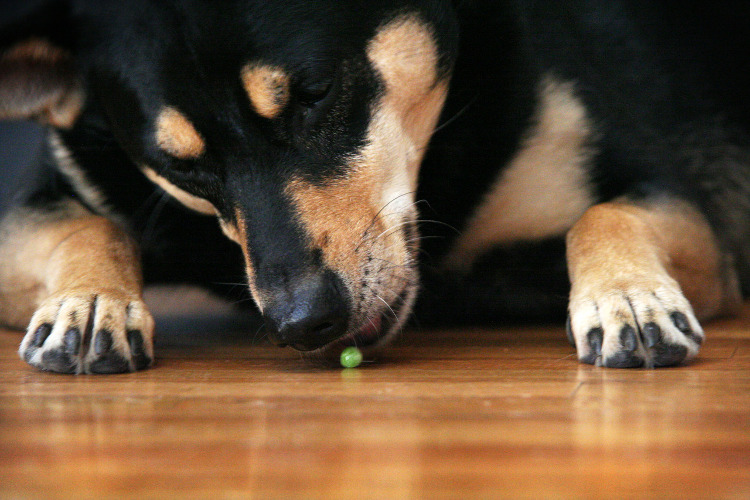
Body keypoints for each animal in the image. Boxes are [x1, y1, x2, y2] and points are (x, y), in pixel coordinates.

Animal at [1, 0, 750, 374]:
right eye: (180, 167)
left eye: (315, 91)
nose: (302, 324)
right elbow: (88, 224)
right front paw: (90, 304)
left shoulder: (683, 210)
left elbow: (602, 215)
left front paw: (628, 296)